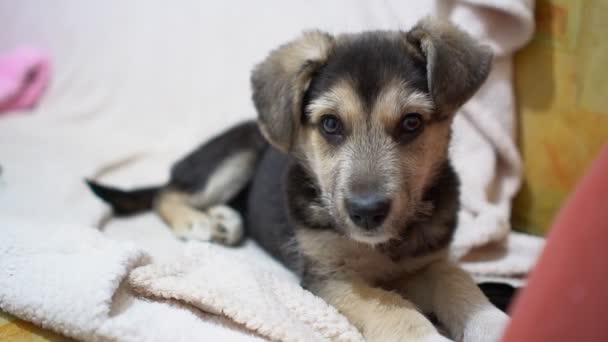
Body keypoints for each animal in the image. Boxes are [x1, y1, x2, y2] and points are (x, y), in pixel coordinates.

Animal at [88, 18, 508, 342]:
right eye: (331, 125)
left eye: (411, 123)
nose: (366, 212)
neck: (382, 246)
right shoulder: (328, 275)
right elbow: (394, 309)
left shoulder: (428, 261)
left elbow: (462, 285)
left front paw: (494, 323)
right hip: (235, 154)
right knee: (166, 193)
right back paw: (198, 221)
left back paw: (224, 219)